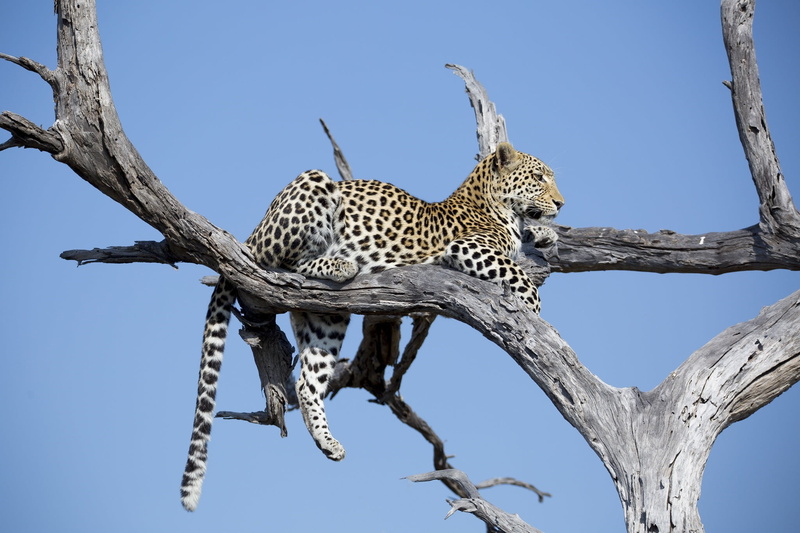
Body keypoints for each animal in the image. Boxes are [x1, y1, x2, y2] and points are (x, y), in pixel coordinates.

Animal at [180, 142, 564, 511]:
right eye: (540, 177)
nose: (561, 203)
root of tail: (253, 230)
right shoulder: (467, 247)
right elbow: (520, 277)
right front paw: (536, 315)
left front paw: (543, 233)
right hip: (312, 186)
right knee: (283, 262)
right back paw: (341, 264)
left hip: (326, 321)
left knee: (307, 383)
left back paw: (329, 444)